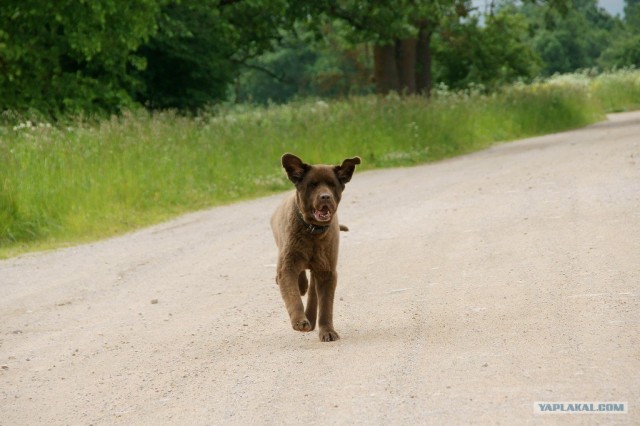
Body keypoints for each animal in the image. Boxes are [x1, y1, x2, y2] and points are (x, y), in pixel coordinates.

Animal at [270, 153, 360, 342]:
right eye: (312, 184)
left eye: (332, 184)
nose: (325, 197)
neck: (312, 232)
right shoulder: (287, 266)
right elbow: (292, 296)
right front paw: (299, 321)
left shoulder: (327, 271)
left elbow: (326, 306)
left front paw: (327, 332)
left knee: (312, 292)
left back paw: (310, 317)